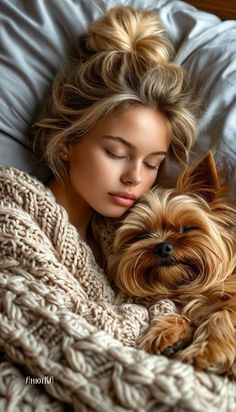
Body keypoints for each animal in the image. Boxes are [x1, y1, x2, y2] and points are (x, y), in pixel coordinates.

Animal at [107, 150, 236, 376]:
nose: (163, 247)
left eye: (187, 228)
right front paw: (166, 334)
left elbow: (224, 312)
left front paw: (205, 352)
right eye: (142, 235)